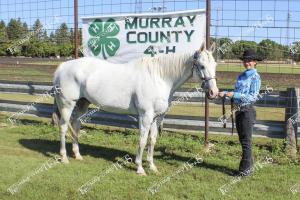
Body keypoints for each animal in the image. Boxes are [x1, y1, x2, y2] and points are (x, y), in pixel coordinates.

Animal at [53, 45, 218, 175]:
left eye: (215, 65)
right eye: (202, 66)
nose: (214, 93)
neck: (159, 78)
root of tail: (62, 67)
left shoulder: (156, 117)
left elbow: (152, 140)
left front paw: (152, 166)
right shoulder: (145, 116)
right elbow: (143, 140)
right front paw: (140, 168)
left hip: (82, 104)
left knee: (75, 124)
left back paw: (77, 155)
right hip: (67, 105)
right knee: (63, 127)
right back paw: (64, 158)